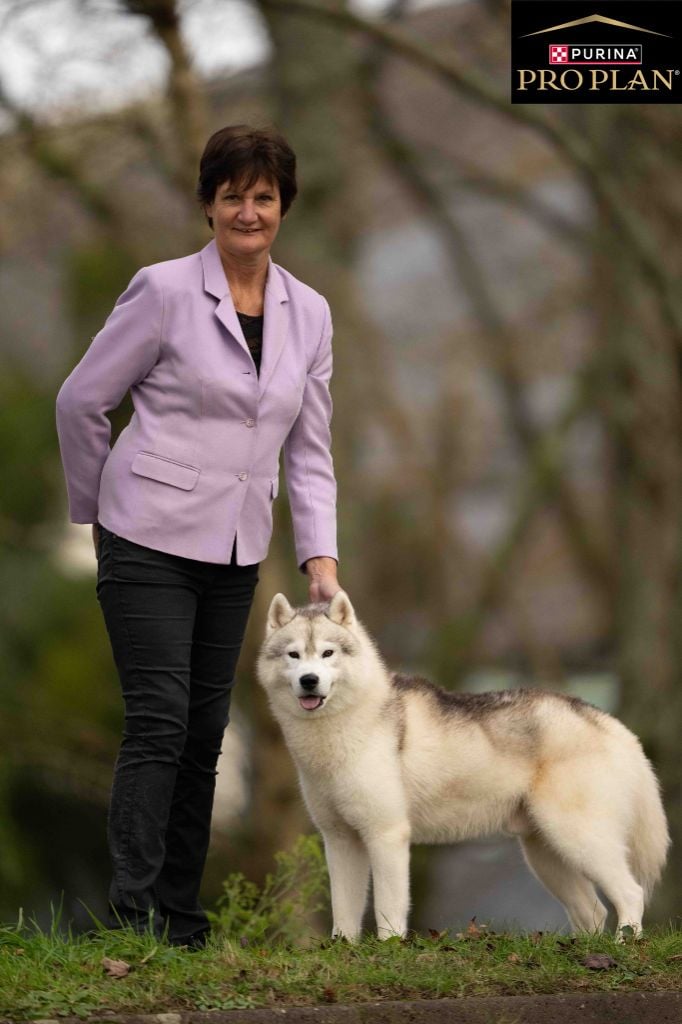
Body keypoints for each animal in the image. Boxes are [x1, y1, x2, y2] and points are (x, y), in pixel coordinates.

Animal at [253, 589, 663, 937]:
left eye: (327, 654)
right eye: (293, 655)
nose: (309, 681)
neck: (338, 733)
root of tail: (607, 721)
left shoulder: (386, 835)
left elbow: (389, 912)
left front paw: (387, 950)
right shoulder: (340, 840)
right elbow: (345, 914)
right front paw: (345, 952)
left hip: (578, 839)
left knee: (630, 894)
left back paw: (623, 946)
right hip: (546, 855)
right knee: (593, 912)